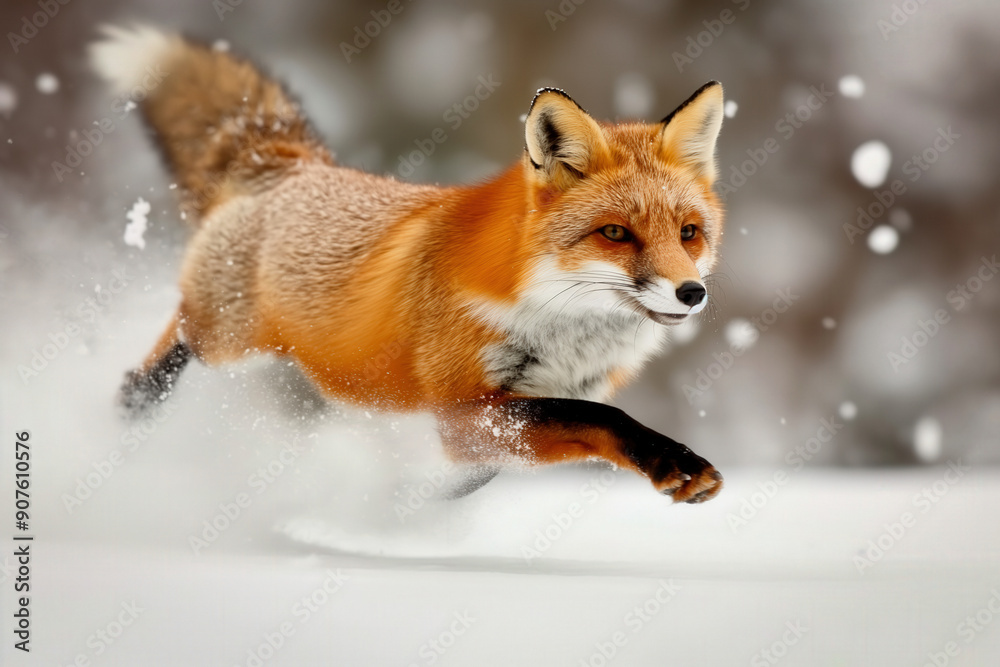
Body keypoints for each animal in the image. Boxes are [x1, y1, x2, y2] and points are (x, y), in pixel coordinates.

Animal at [90, 25, 727, 503]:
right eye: (615, 233)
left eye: (688, 234)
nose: (691, 293)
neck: (558, 324)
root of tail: (298, 165)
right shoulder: (464, 410)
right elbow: (599, 420)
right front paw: (671, 461)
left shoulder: (498, 421)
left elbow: (489, 469)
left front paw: (405, 502)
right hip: (227, 338)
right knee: (175, 340)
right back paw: (130, 407)